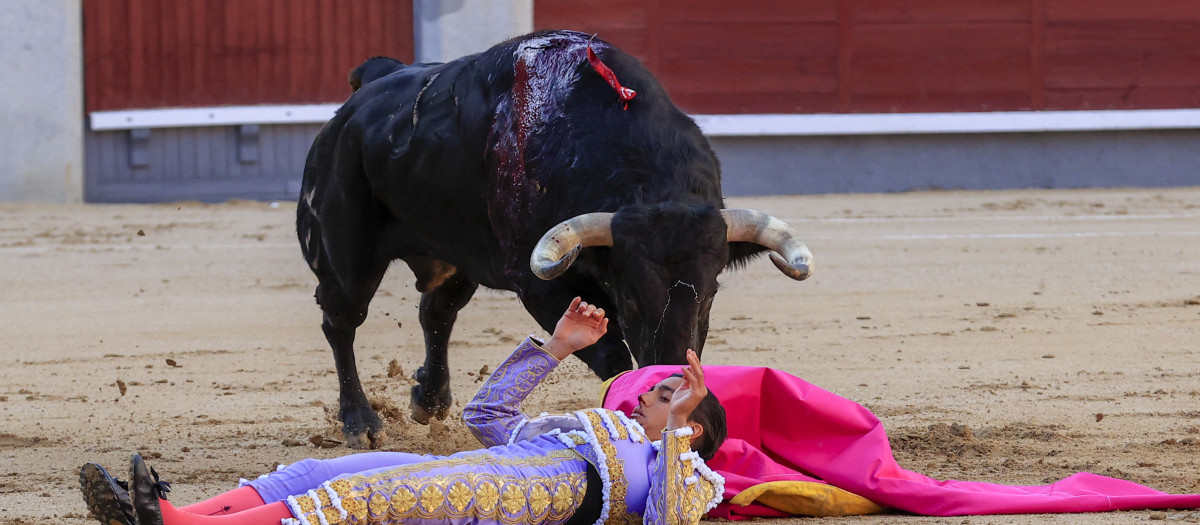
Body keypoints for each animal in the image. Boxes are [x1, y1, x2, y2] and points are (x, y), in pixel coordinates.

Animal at [297, 29, 816, 445]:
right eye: (629, 298)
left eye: (709, 296)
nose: (671, 369)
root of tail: (368, 89)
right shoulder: (540, 286)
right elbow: (612, 356)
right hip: (344, 252)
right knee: (342, 320)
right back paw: (360, 422)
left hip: (454, 258)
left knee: (437, 312)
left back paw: (429, 399)